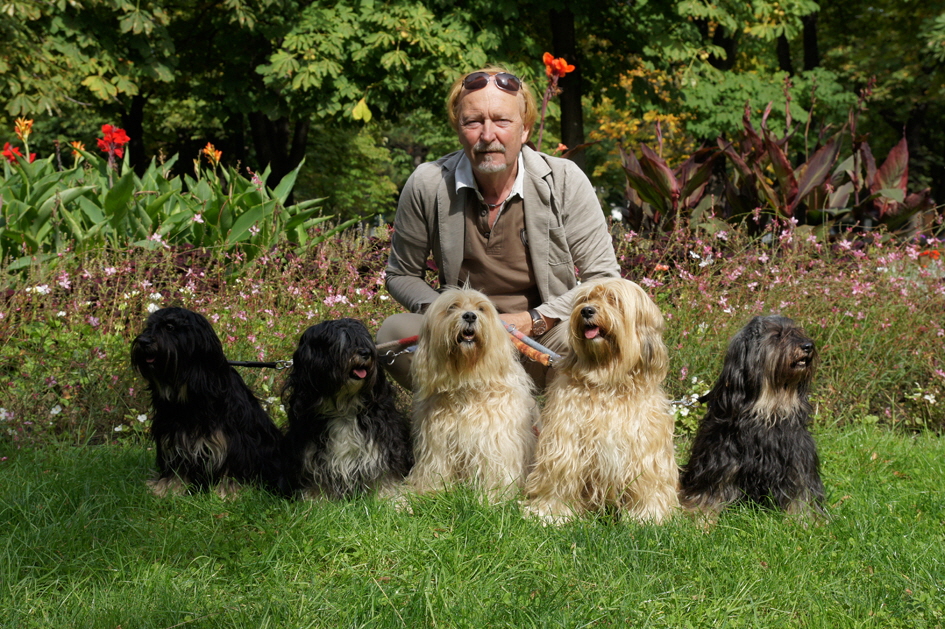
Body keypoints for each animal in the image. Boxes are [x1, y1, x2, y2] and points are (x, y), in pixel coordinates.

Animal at [131, 306, 282, 498]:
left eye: (170, 327)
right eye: (148, 327)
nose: (143, 341)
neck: (189, 395)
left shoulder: (234, 440)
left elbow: (231, 467)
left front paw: (227, 492)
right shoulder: (173, 434)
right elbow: (176, 465)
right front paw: (168, 488)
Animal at [280, 318, 412, 500]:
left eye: (364, 341)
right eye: (342, 342)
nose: (365, 353)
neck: (343, 406)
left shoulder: (383, 438)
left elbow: (384, 471)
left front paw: (389, 497)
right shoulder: (307, 447)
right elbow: (314, 479)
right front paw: (314, 501)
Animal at [408, 288, 540, 498]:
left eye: (481, 308)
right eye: (452, 307)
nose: (470, 315)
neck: (468, 381)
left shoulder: (496, 439)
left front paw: (492, 498)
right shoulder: (438, 441)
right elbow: (437, 469)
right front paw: (431, 492)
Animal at [524, 278, 680, 520]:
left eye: (613, 300)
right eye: (586, 298)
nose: (587, 310)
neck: (607, 382)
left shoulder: (644, 446)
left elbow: (648, 480)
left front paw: (648, 516)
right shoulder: (566, 439)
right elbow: (560, 473)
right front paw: (550, 512)